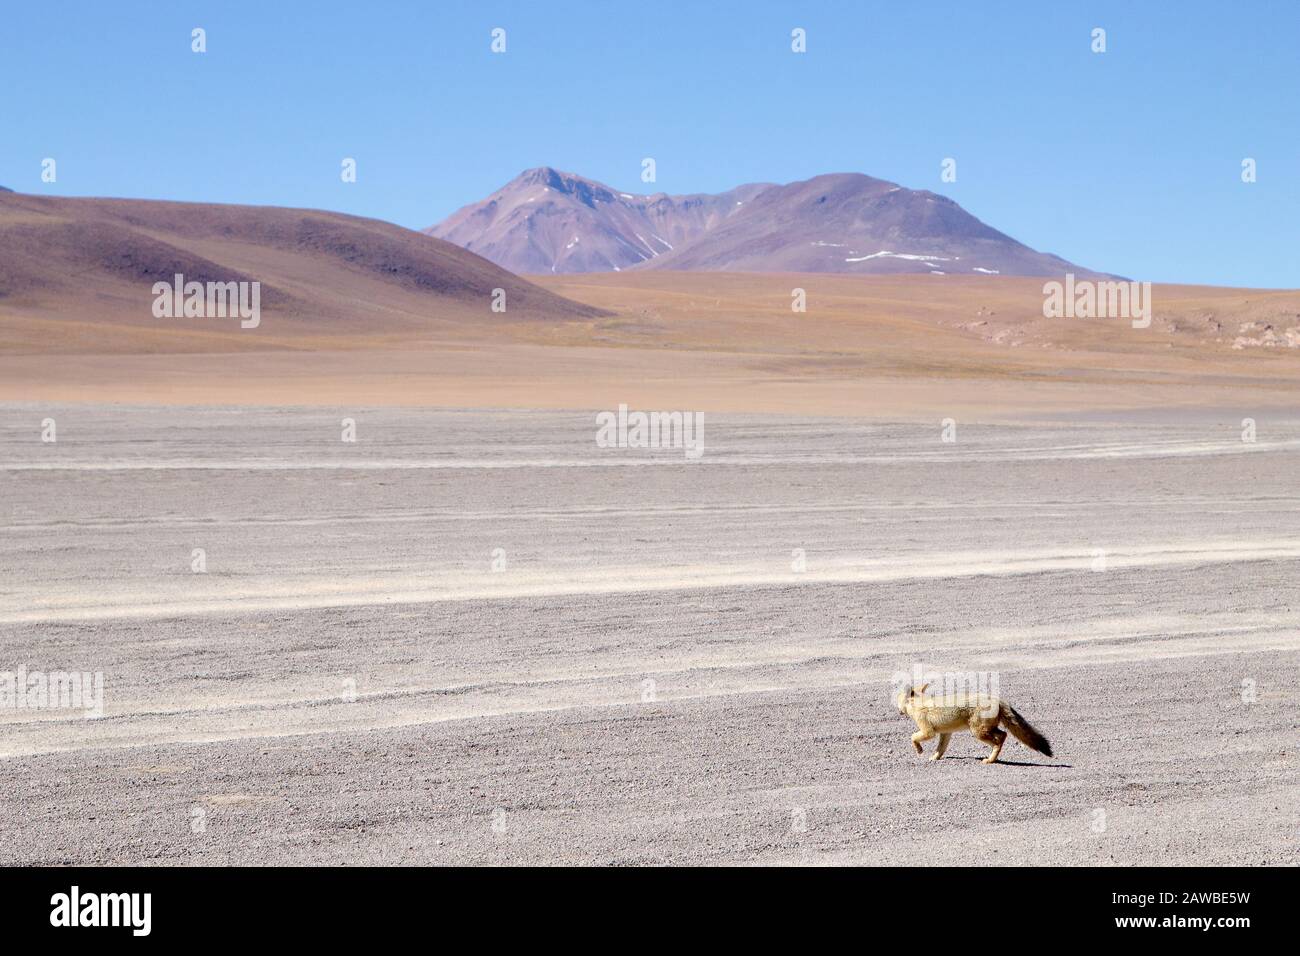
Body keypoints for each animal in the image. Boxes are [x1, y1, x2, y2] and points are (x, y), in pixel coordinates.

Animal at [896, 683, 1053, 764]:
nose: (897, 710)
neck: (919, 703)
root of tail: (997, 699)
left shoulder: (928, 731)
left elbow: (913, 737)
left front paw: (919, 750)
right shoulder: (946, 733)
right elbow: (940, 749)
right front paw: (935, 758)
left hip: (978, 732)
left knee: (998, 741)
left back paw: (990, 760)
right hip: (987, 729)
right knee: (1004, 735)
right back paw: (992, 758)